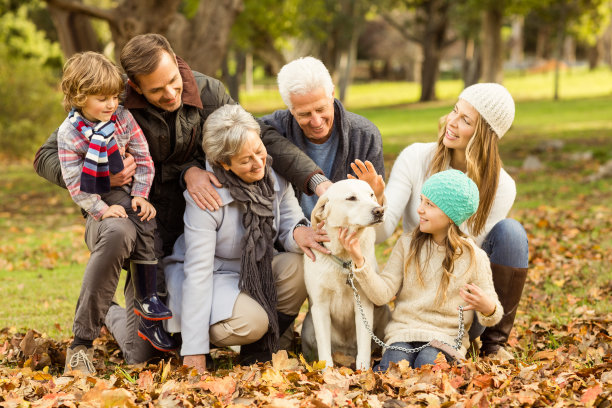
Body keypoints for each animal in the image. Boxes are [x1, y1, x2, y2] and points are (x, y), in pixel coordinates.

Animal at [304, 178, 390, 370]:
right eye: (351, 198)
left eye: (371, 195)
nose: (379, 211)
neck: (344, 259)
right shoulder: (319, 306)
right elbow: (324, 349)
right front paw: (327, 372)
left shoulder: (364, 304)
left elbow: (364, 348)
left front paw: (363, 372)